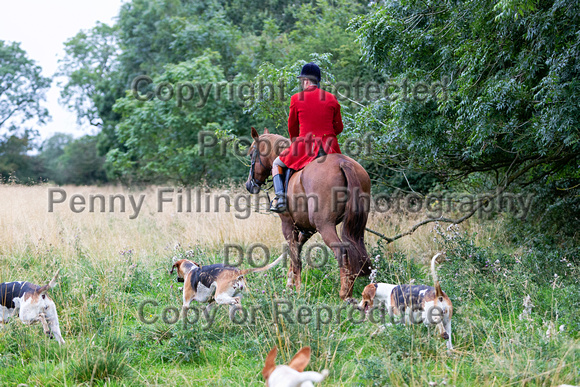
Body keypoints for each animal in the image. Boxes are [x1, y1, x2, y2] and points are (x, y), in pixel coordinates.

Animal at [245, 129, 372, 302]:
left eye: (252, 154)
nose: (249, 185)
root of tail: (343, 163)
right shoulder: (307, 229)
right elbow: (296, 250)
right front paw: (290, 284)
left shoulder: (288, 225)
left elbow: (296, 257)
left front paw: (297, 291)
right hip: (357, 226)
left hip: (325, 225)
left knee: (341, 252)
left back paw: (345, 293)